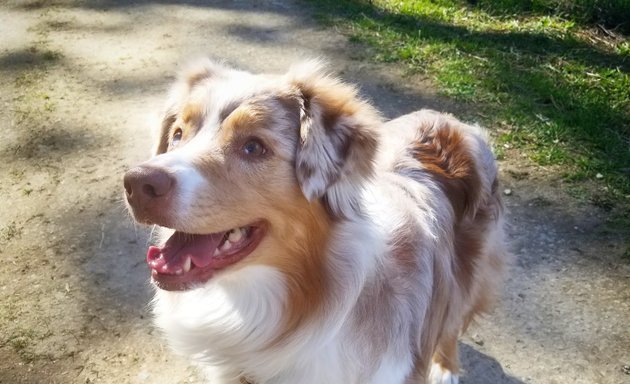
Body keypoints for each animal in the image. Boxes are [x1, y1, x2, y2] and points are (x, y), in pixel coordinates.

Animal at [123, 60, 508, 384]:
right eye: (177, 134)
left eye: (254, 147)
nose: (137, 183)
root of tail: (448, 118)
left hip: (473, 265)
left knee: (456, 316)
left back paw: (446, 367)